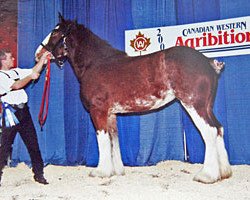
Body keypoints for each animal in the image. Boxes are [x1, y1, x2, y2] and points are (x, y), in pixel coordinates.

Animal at [35, 13, 232, 184]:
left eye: (55, 32)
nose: (38, 54)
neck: (95, 63)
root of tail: (207, 62)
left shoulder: (98, 111)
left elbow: (102, 140)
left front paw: (101, 171)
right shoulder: (110, 114)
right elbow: (113, 140)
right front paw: (116, 170)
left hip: (194, 104)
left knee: (209, 131)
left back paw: (207, 175)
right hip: (206, 106)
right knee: (219, 129)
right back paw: (224, 173)